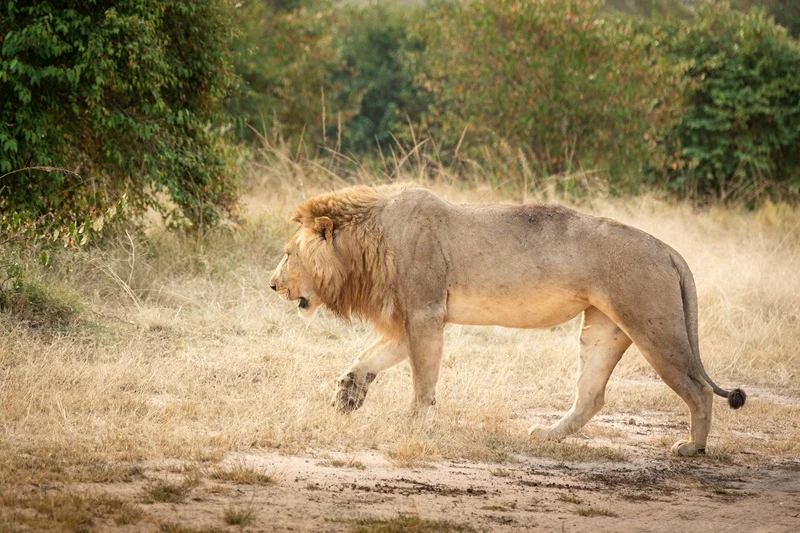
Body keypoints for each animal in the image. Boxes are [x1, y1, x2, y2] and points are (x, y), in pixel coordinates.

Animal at [269, 185, 745, 456]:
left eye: (288, 254)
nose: (272, 285)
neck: (370, 241)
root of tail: (668, 249)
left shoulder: (425, 312)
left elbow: (422, 379)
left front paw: (413, 423)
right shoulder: (415, 318)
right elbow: (371, 357)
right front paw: (348, 393)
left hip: (654, 327)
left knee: (699, 388)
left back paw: (693, 448)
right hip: (604, 329)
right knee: (591, 396)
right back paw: (547, 435)